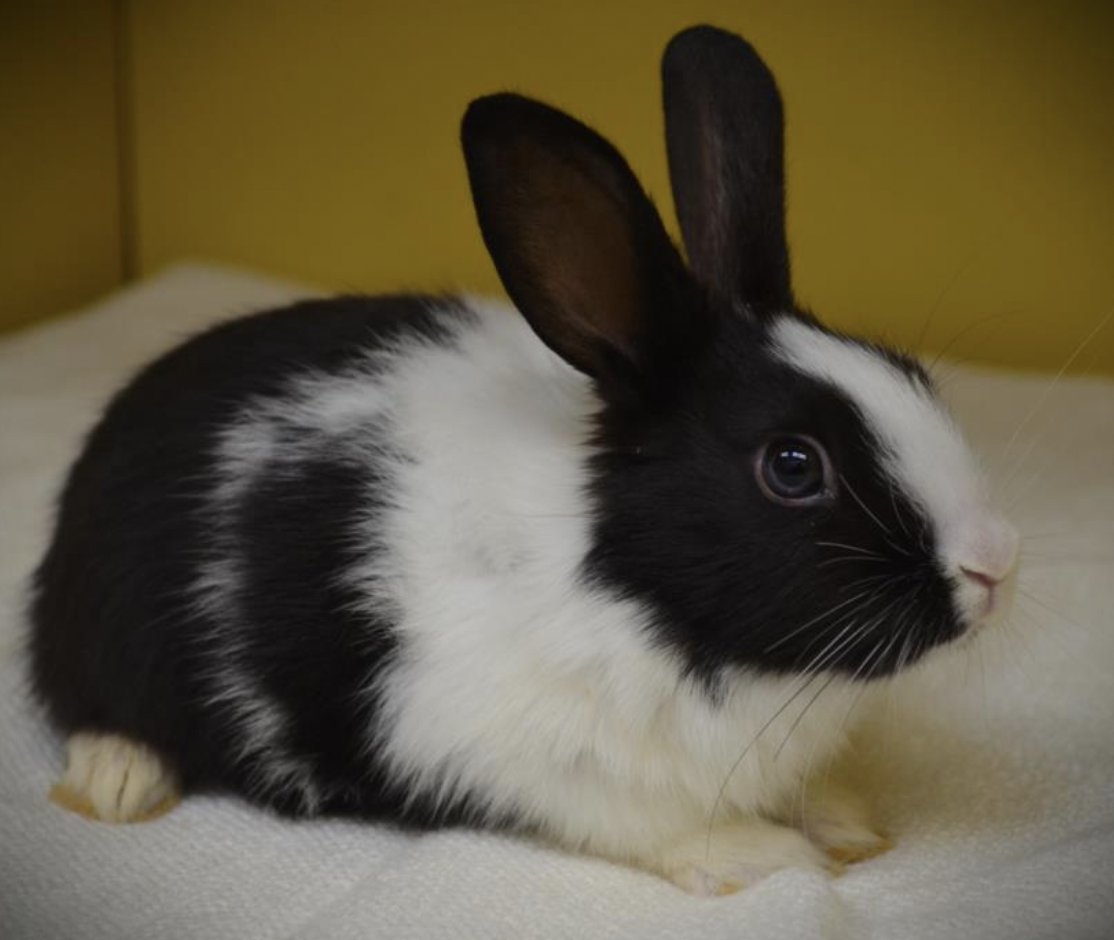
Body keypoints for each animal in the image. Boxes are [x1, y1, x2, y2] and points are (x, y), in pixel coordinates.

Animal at [28, 24, 1018, 895]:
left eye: (909, 373)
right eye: (793, 465)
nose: (992, 566)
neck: (633, 581)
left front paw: (848, 823)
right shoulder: (520, 754)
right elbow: (649, 822)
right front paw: (763, 857)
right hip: (110, 639)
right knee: (84, 706)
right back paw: (119, 783)